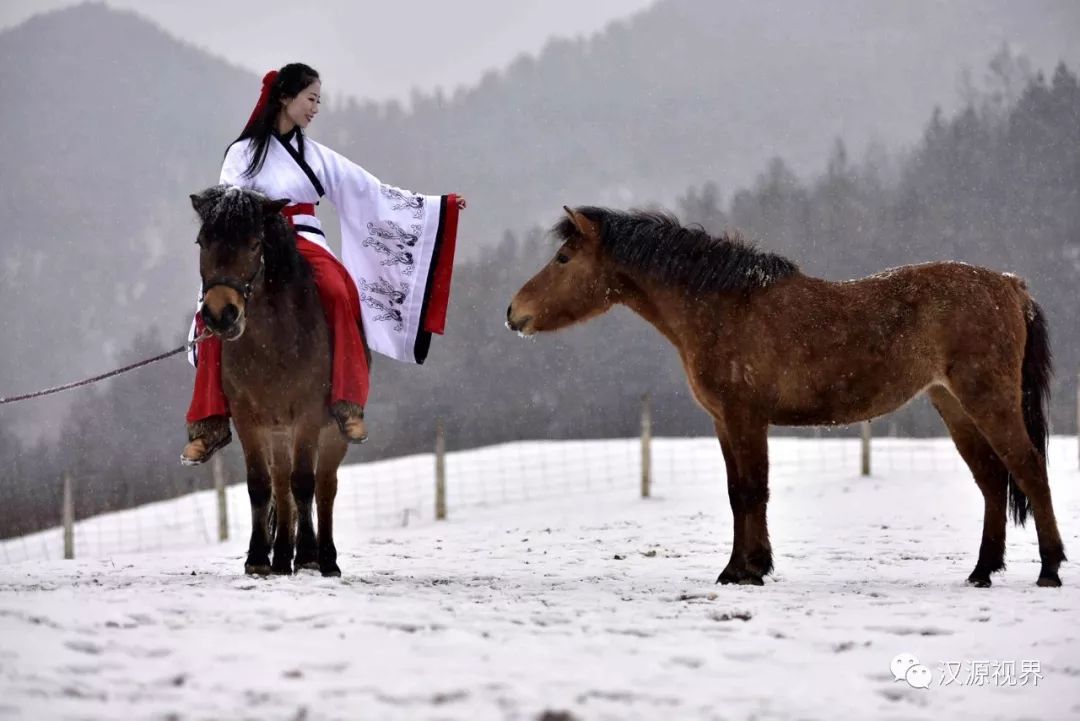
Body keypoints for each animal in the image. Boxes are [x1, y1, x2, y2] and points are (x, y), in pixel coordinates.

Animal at [191, 184, 345, 574]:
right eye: (202, 241)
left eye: (254, 244)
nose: (220, 315)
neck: (272, 344)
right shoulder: (247, 417)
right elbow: (261, 485)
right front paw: (260, 558)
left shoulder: (308, 415)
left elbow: (305, 483)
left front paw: (307, 555)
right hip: (277, 433)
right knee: (280, 483)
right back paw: (281, 556)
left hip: (331, 434)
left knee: (324, 486)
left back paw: (325, 558)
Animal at [505, 205, 1062, 587]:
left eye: (563, 258)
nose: (513, 312)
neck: (725, 308)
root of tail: (1010, 285)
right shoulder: (724, 422)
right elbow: (738, 493)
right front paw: (741, 568)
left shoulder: (746, 417)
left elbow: (752, 491)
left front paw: (748, 570)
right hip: (954, 405)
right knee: (992, 480)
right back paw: (982, 571)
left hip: (987, 399)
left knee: (1028, 468)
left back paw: (1049, 568)